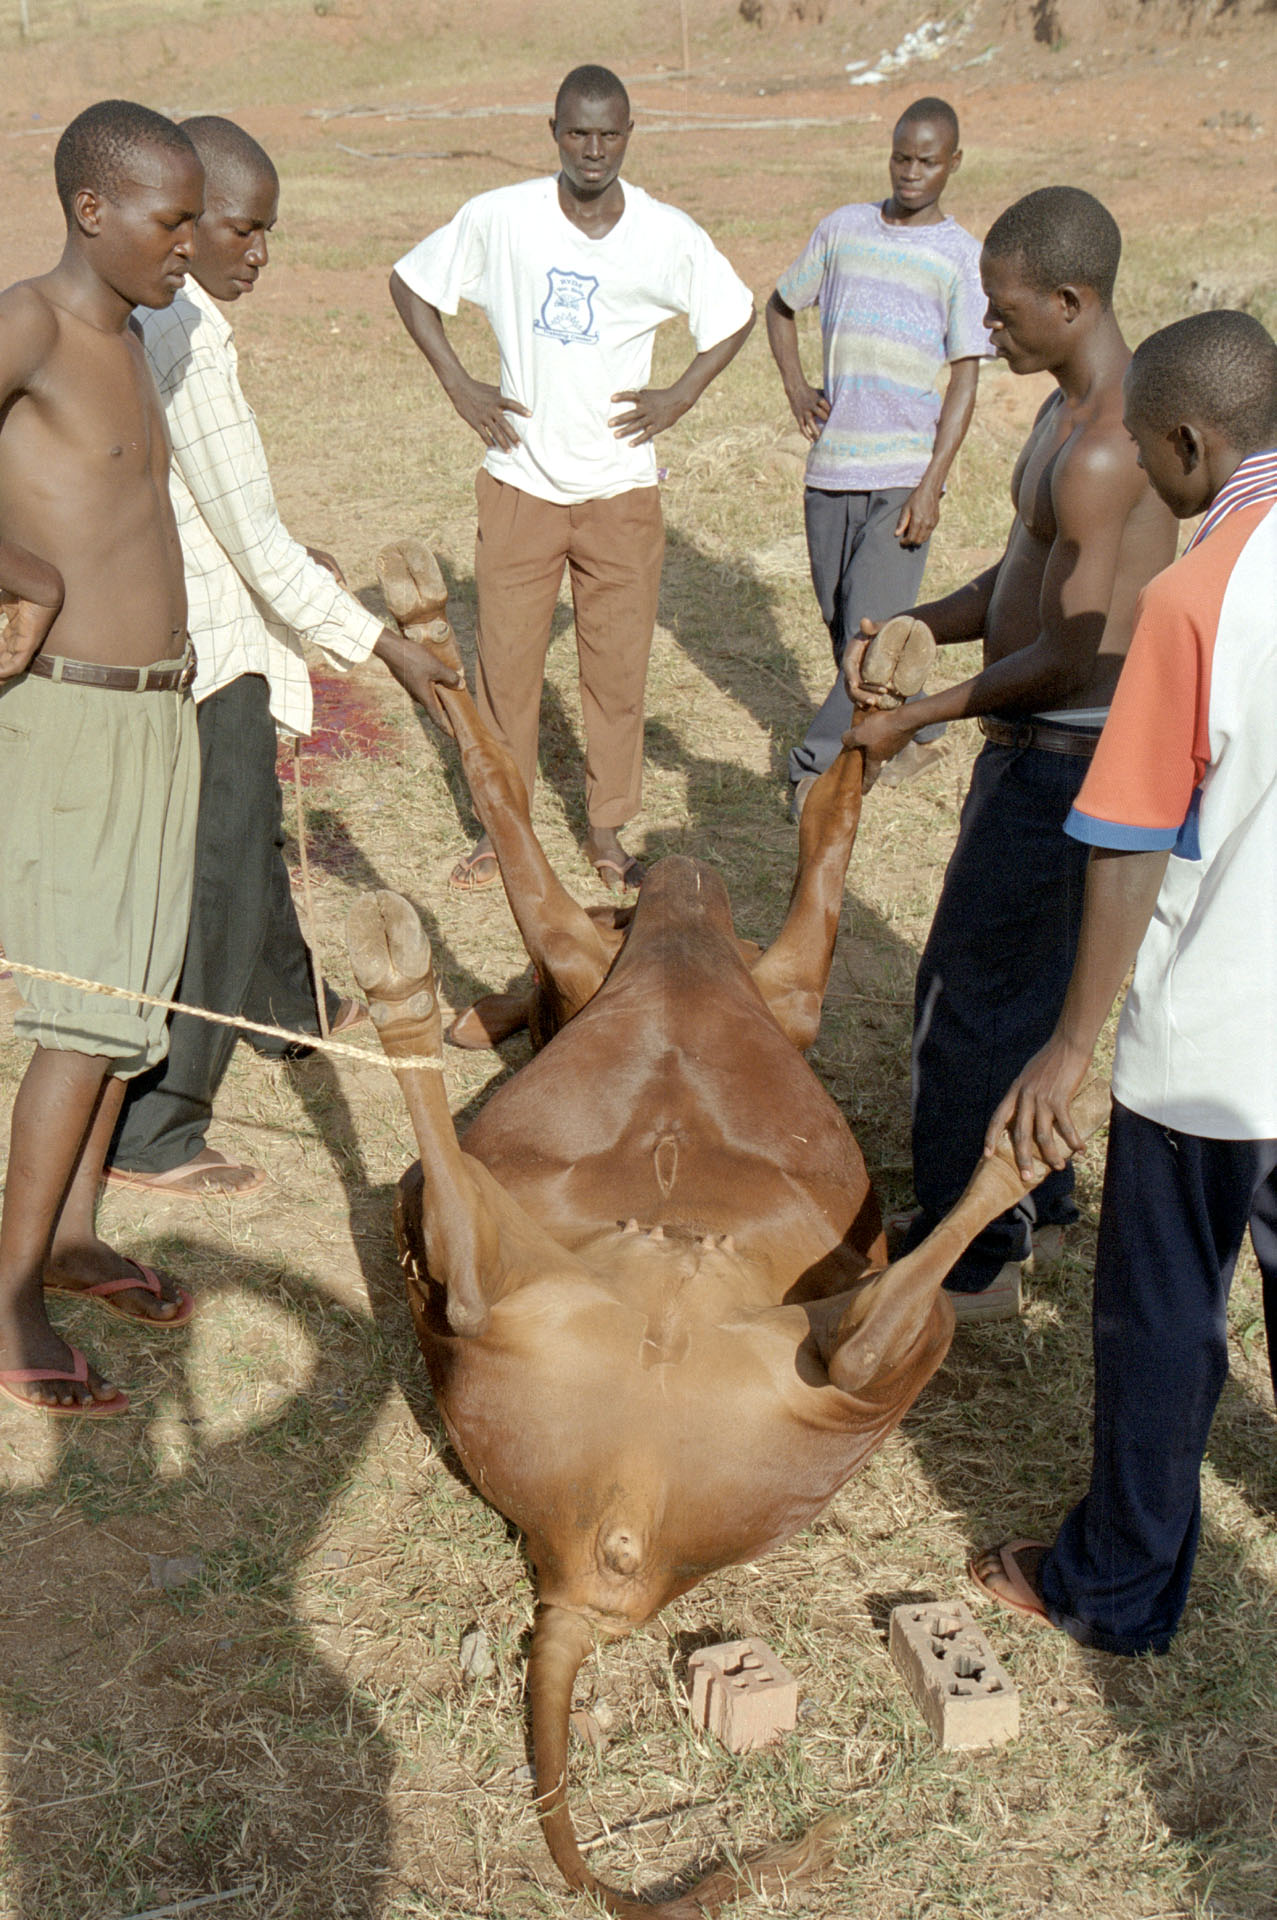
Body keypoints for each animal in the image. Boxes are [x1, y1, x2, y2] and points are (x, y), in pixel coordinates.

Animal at [349, 545, 1098, 1920]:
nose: (671, 862)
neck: (682, 943)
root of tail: (601, 1559)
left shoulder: (705, 967)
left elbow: (793, 819)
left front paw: (882, 681)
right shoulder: (731, 967)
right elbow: (789, 827)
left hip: (674, 1330)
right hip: (775, 1361)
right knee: (855, 1332)